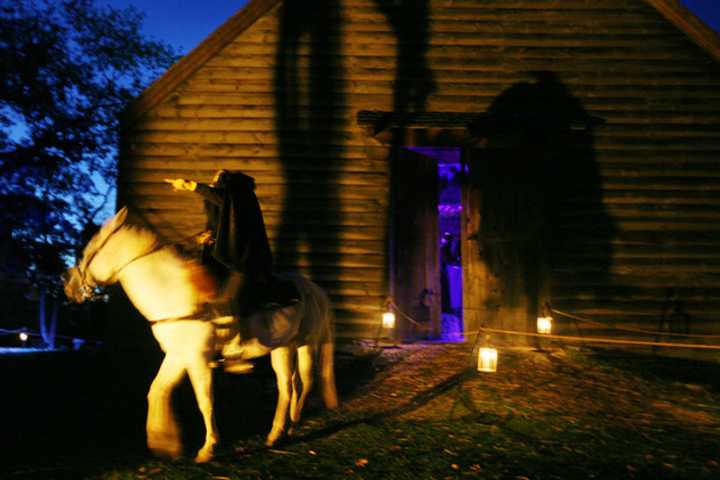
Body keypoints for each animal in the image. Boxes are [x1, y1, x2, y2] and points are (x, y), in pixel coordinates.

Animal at [62, 208, 338, 464]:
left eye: (90, 250)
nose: (68, 286)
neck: (172, 291)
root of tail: (314, 289)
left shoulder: (198, 358)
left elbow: (204, 400)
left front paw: (208, 448)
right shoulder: (177, 355)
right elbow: (157, 390)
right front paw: (166, 443)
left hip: (300, 345)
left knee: (296, 384)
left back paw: (281, 430)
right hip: (283, 346)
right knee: (292, 384)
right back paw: (286, 429)